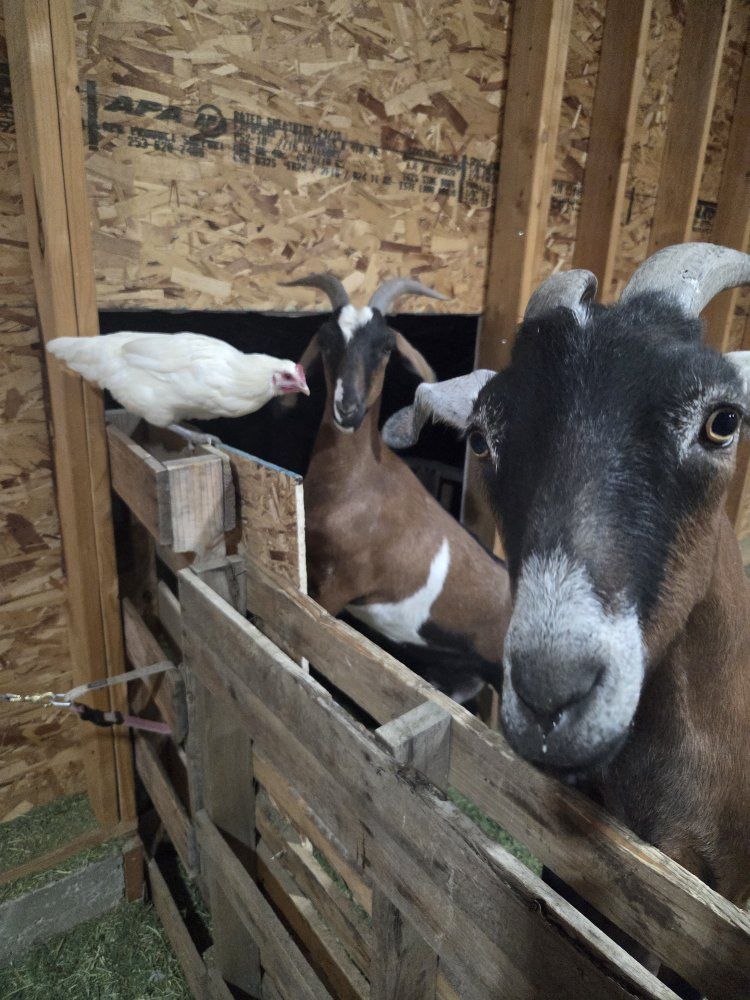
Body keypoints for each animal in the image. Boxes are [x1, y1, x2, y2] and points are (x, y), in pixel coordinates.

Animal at [283, 273, 512, 703]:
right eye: (326, 337)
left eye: (387, 346)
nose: (348, 409)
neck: (357, 485)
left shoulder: (340, 587)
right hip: (458, 673)